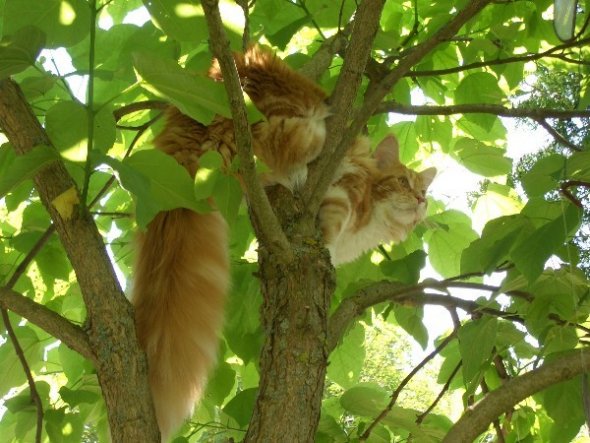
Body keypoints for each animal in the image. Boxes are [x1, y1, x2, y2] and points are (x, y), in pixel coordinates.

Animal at [132, 45, 438, 440]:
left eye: (424, 193)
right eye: (403, 182)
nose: (419, 201)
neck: (371, 227)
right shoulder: (345, 186)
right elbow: (333, 220)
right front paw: (322, 243)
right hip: (266, 114)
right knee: (282, 140)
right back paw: (317, 138)